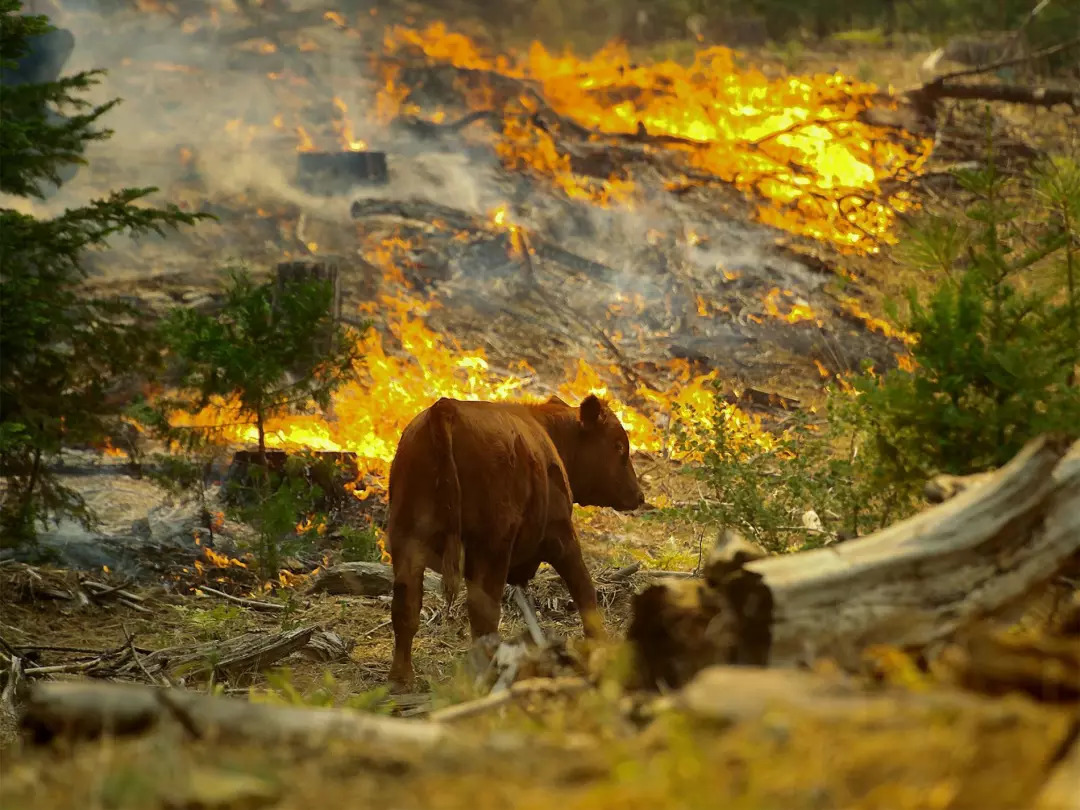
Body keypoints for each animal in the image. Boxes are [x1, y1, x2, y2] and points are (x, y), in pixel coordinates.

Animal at [386, 397, 639, 686]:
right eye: (618, 446)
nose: (639, 495)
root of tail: (445, 408)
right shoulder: (560, 535)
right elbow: (585, 590)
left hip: (407, 541)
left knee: (405, 605)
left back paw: (401, 677)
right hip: (491, 548)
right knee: (483, 614)